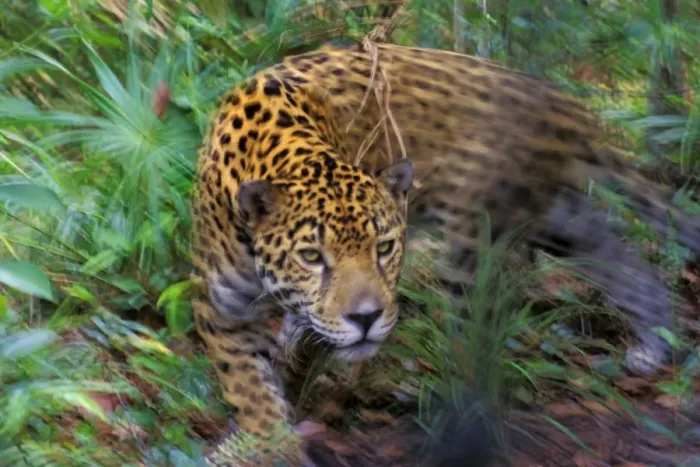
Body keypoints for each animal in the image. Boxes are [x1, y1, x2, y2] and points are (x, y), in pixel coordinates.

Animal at [192, 41, 700, 463]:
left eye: (385, 248)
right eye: (312, 257)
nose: (366, 319)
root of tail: (563, 104)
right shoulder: (221, 306)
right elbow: (249, 387)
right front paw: (267, 440)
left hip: (476, 245)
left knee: (475, 345)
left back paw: (455, 420)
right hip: (563, 221)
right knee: (626, 262)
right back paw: (653, 347)